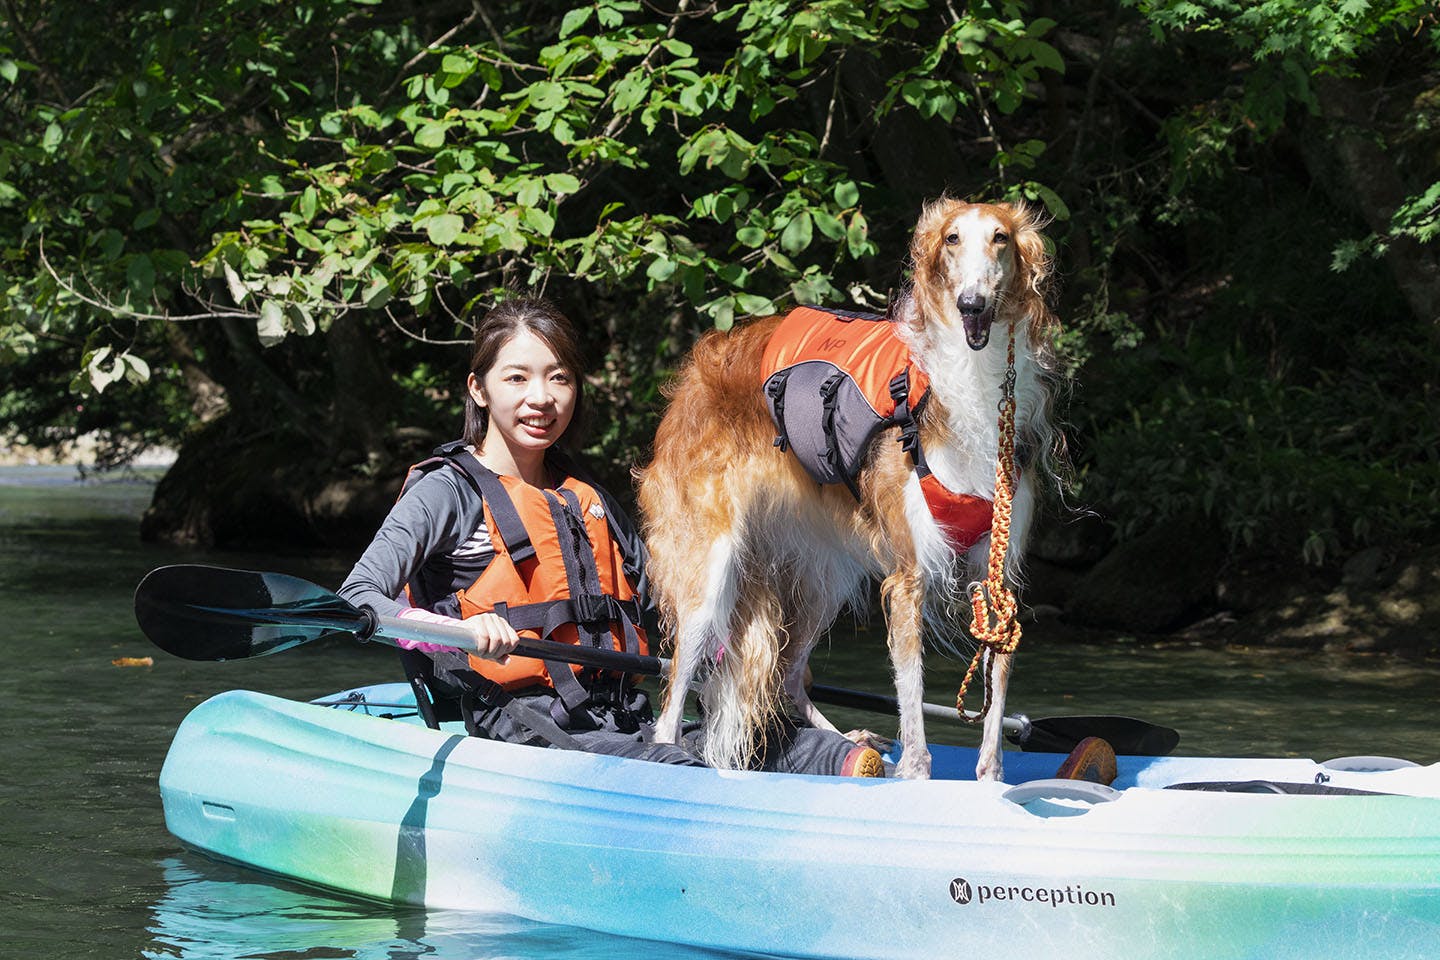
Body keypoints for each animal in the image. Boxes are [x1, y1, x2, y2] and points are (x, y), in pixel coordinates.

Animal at [639, 197, 1059, 782]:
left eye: (1001, 238)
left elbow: (995, 696)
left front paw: (990, 780)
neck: (967, 387)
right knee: (672, 700)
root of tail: (690, 376)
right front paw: (918, 776)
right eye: (952, 239)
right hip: (708, 571)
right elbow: (912, 695)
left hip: (824, 576)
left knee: (789, 673)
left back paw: (850, 742)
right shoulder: (908, 576)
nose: (972, 303)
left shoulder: (999, 581)